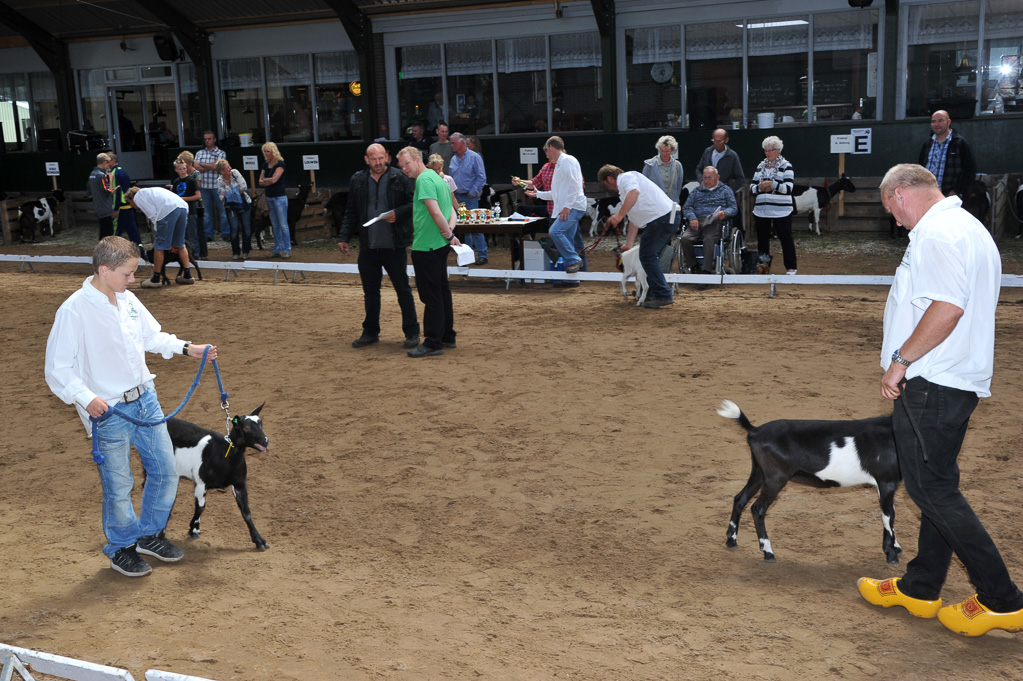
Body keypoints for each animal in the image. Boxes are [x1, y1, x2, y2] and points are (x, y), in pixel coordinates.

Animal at [163, 402, 270, 548]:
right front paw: (193, 529)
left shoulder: (239, 484)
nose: (266, 441)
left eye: (261, 423)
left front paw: (259, 540)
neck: (226, 453)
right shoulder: (201, 483)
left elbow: (246, 512)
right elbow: (201, 507)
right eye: (246, 427)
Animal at [716, 398, 900, 560]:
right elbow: (888, 516)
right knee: (758, 508)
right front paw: (891, 554)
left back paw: (731, 540)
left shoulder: (886, 484)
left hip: (759, 473)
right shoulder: (886, 481)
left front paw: (894, 547)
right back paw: (768, 552)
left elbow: (890, 512)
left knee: (740, 499)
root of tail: (754, 430)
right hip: (776, 478)